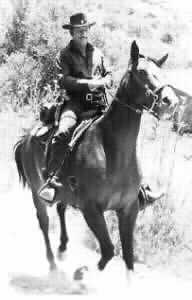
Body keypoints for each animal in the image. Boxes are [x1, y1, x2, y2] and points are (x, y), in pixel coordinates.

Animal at [14, 40, 178, 274]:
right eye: (142, 72)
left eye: (162, 72)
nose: (170, 101)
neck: (113, 152)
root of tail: (27, 138)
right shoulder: (91, 210)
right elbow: (108, 250)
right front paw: (82, 273)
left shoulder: (129, 210)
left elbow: (128, 257)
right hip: (38, 194)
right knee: (43, 222)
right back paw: (53, 263)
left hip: (63, 193)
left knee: (61, 208)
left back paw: (63, 248)